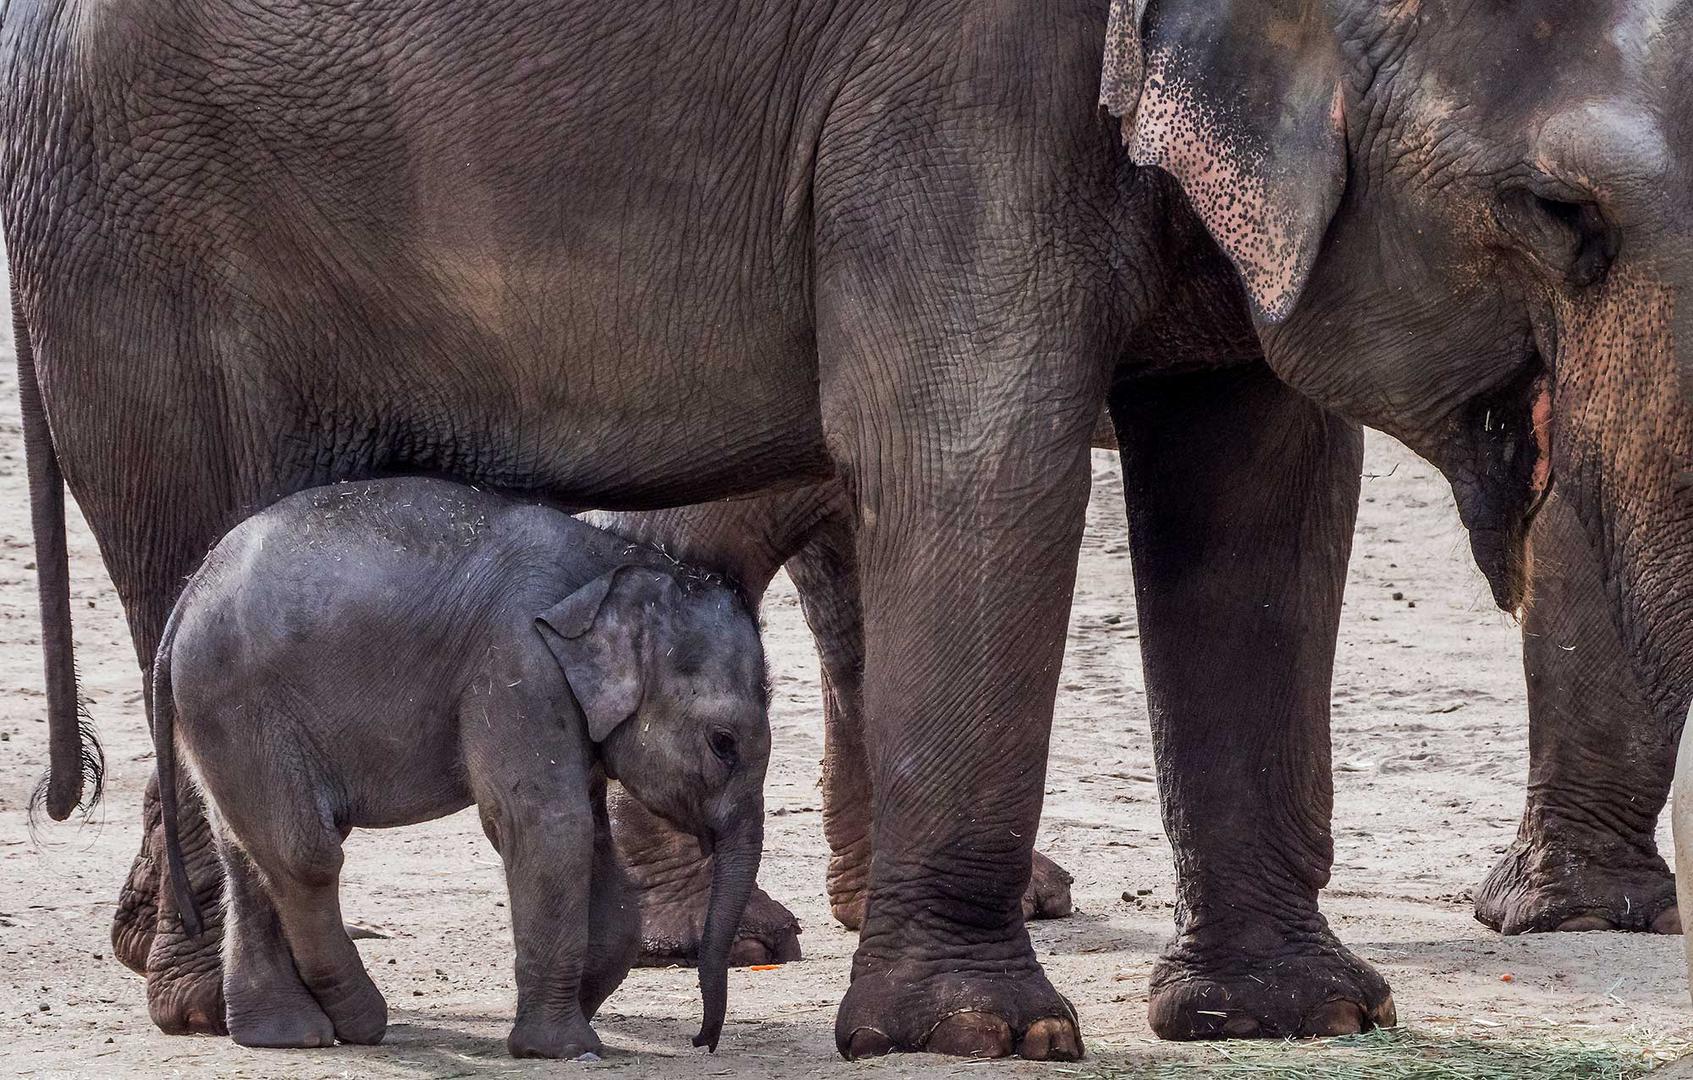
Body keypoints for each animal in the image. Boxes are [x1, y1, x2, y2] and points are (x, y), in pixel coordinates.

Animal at [152, 477, 775, 1063]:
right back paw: (358, 1023)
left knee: (246, 848)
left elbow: (595, 845)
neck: (617, 563)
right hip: (240, 704)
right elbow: (547, 827)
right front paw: (562, 1048)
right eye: (723, 744)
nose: (701, 1040)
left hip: (224, 720)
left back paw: (284, 1035)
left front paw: (576, 1017)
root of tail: (185, 600)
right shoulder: (518, 664)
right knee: (304, 853)